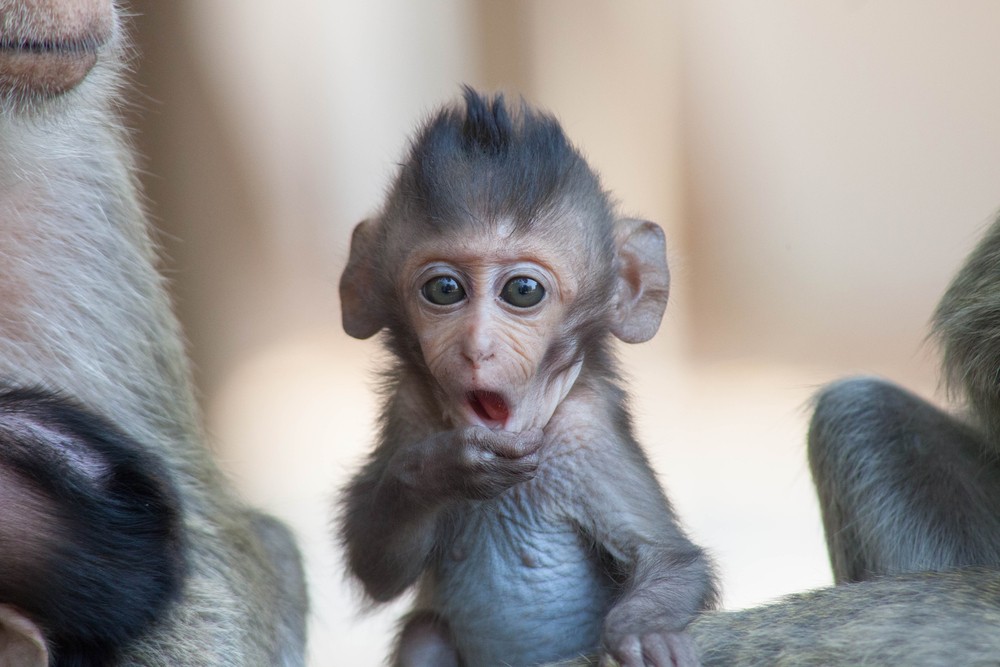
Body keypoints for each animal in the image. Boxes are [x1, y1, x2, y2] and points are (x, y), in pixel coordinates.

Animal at [340, 90, 716, 667]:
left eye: (522, 291)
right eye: (444, 289)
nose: (477, 347)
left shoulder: (586, 433)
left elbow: (671, 561)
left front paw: (644, 630)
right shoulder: (410, 407)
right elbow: (376, 564)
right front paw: (447, 468)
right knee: (424, 632)